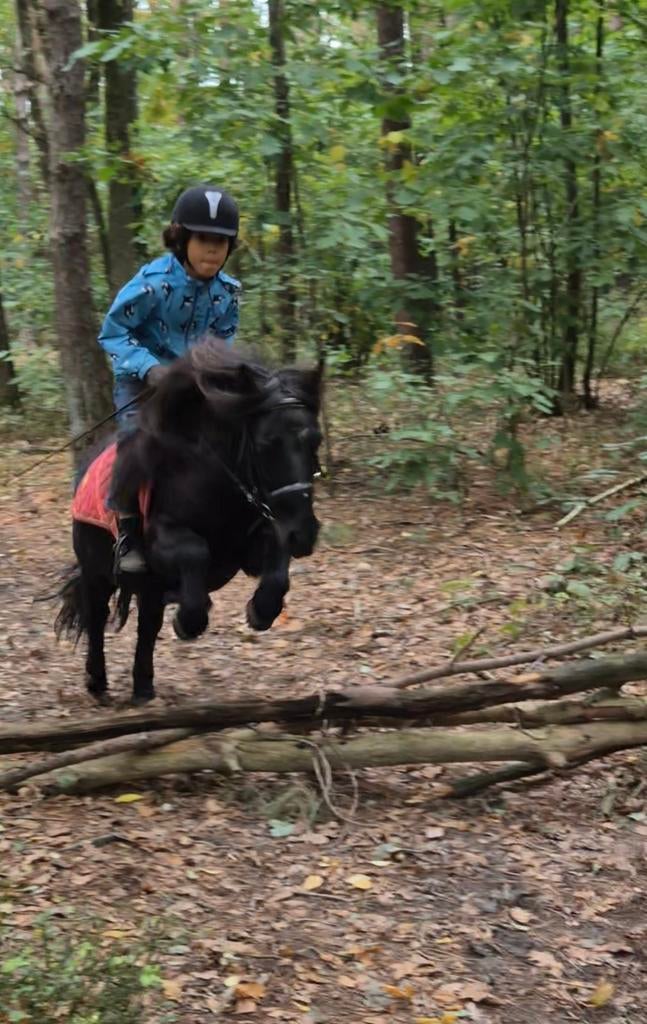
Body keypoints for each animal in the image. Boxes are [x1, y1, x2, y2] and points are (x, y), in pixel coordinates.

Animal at [56, 339, 323, 705]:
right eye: (266, 444)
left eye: (316, 440)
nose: (304, 533)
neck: (212, 476)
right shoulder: (163, 540)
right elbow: (195, 552)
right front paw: (188, 620)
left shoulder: (258, 539)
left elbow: (278, 568)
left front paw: (261, 611)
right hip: (98, 571)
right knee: (97, 618)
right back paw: (97, 682)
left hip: (148, 587)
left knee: (147, 626)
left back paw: (143, 688)